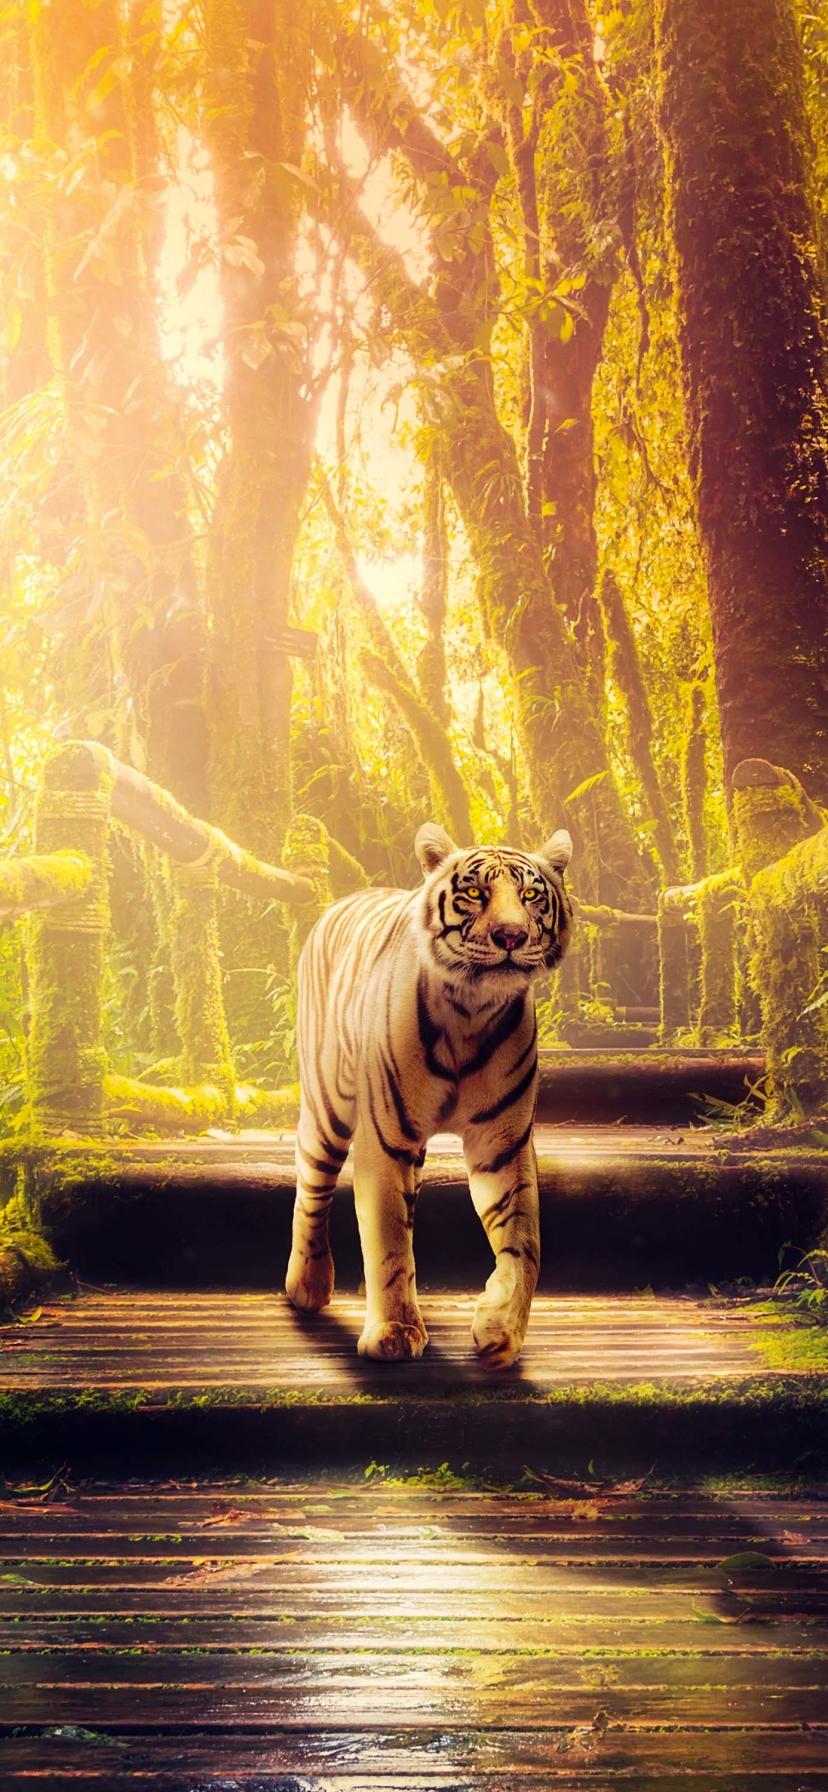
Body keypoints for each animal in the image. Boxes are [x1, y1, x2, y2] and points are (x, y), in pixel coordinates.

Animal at [285, 821, 573, 1369]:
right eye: (476, 893)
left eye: (530, 895)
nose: (511, 936)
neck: (473, 1009)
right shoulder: (385, 1138)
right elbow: (389, 1237)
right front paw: (395, 1332)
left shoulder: (504, 1144)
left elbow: (525, 1241)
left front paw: (501, 1331)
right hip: (328, 1111)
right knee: (312, 1190)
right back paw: (306, 1286)